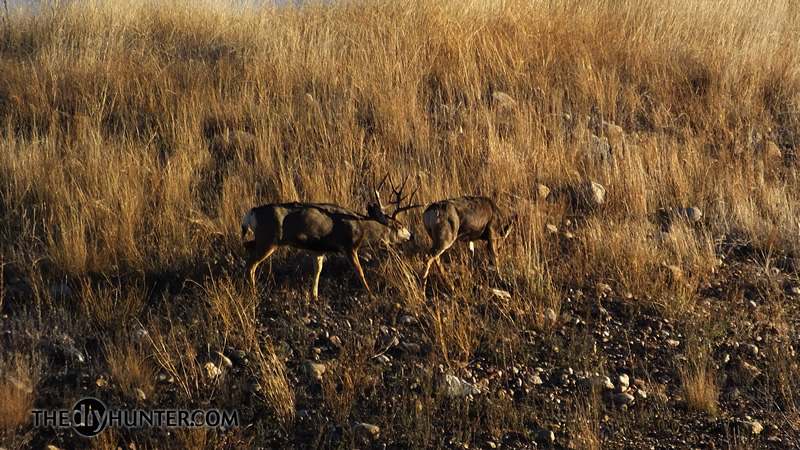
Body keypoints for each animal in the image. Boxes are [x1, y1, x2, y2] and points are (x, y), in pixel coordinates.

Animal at [242, 176, 418, 298]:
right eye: (399, 226)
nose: (412, 235)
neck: (362, 227)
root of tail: (252, 212)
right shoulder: (348, 246)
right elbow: (359, 270)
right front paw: (371, 295)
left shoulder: (317, 249)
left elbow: (318, 270)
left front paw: (314, 295)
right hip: (269, 240)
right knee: (251, 264)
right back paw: (253, 291)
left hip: (262, 240)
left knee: (247, 247)